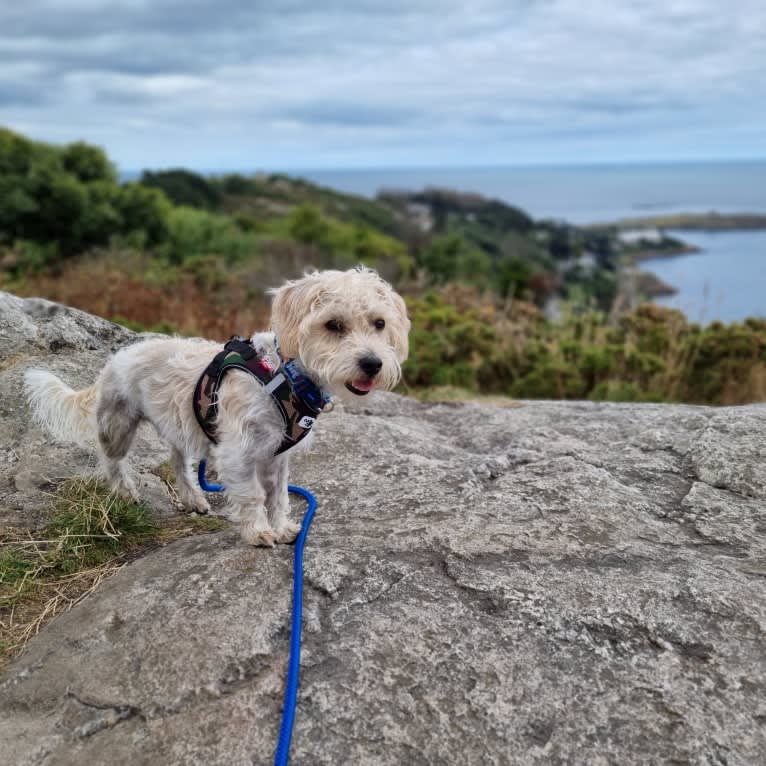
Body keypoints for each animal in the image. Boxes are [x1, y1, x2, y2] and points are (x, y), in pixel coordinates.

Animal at [24, 268, 412, 544]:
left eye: (379, 323)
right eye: (333, 325)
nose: (372, 364)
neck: (283, 376)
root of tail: (115, 360)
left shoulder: (276, 457)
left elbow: (277, 496)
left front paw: (282, 526)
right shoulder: (238, 453)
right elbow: (254, 495)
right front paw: (258, 532)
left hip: (180, 426)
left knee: (177, 463)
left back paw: (192, 497)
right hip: (117, 425)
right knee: (111, 460)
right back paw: (124, 491)